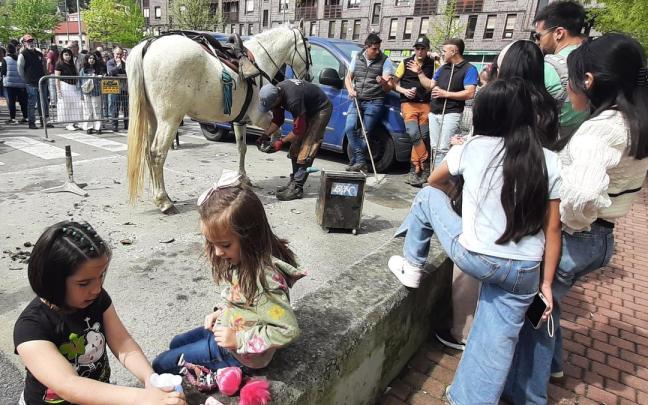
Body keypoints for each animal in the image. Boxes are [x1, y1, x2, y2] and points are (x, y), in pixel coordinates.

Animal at [126, 23, 311, 214]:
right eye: (309, 47)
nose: (309, 77)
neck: (260, 61)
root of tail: (149, 45)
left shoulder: (240, 120)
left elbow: (242, 148)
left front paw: (242, 177)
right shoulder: (259, 116)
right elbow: (278, 129)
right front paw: (271, 144)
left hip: (152, 119)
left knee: (147, 153)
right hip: (170, 120)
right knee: (157, 154)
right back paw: (164, 201)